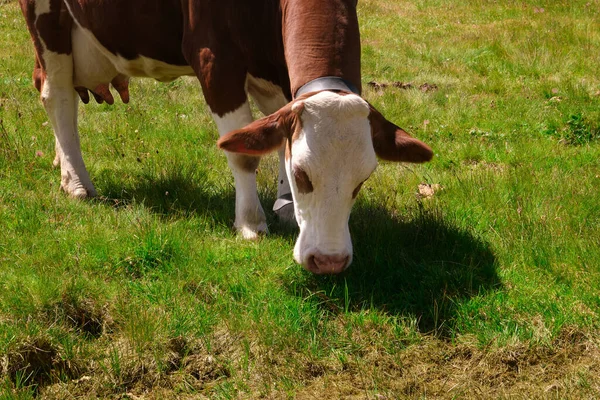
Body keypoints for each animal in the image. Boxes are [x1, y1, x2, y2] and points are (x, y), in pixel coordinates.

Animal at [18, 0, 432, 274]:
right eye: (303, 174)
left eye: (362, 181)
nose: (329, 262)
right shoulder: (214, 57)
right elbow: (243, 153)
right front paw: (250, 222)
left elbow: (277, 131)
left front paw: (284, 205)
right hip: (47, 21)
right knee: (56, 94)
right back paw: (77, 182)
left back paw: (61, 161)